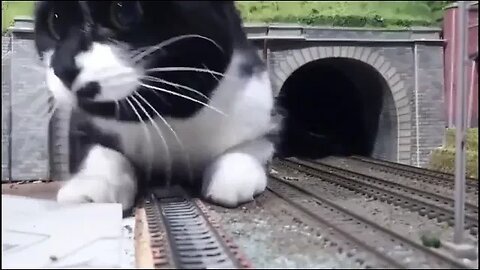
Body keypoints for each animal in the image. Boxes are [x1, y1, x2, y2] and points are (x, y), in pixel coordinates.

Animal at [33, 0, 282, 211]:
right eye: (54, 19)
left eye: (124, 11)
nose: (63, 68)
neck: (168, 115)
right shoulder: (83, 123)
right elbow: (95, 148)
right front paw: (92, 183)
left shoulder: (262, 107)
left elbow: (256, 144)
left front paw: (233, 172)